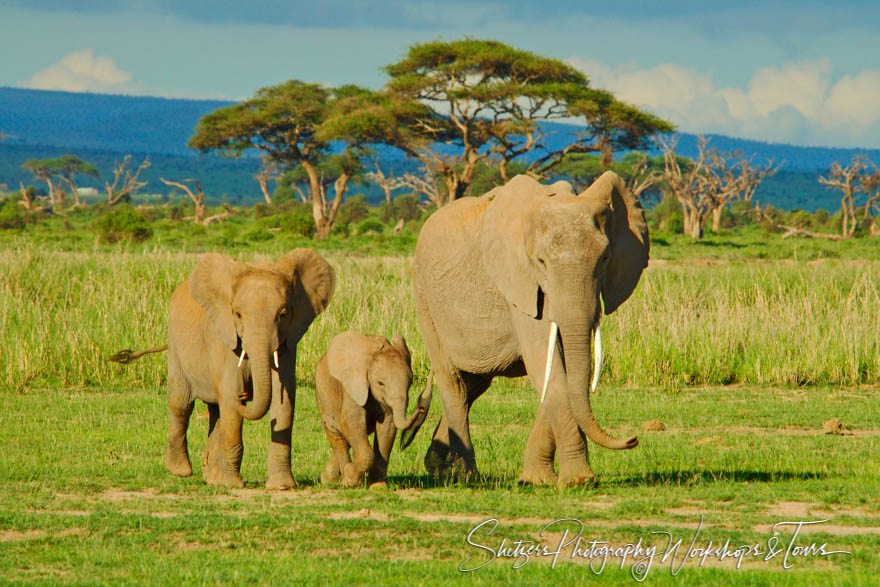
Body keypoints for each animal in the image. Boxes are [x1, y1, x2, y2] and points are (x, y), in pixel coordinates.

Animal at [120, 250, 334, 490]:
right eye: (238, 315)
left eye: (283, 314)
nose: (245, 395)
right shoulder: (223, 337)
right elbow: (231, 395)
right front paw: (232, 484)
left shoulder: (288, 341)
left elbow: (284, 399)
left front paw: (282, 486)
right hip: (175, 345)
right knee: (182, 404)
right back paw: (181, 471)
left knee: (216, 412)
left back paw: (212, 478)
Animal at [314, 334, 428, 490]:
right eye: (380, 383)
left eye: (410, 383)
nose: (422, 407)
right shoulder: (353, 388)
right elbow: (351, 422)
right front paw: (351, 480)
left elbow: (387, 428)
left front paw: (378, 487)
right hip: (323, 396)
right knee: (338, 437)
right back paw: (341, 479)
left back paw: (329, 479)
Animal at [412, 172, 648, 490]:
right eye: (541, 262)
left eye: (605, 259)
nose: (632, 439)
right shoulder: (521, 286)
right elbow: (548, 368)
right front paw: (578, 481)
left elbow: (560, 372)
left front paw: (538, 479)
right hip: (425, 299)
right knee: (454, 385)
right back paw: (467, 476)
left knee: (474, 384)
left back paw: (439, 469)